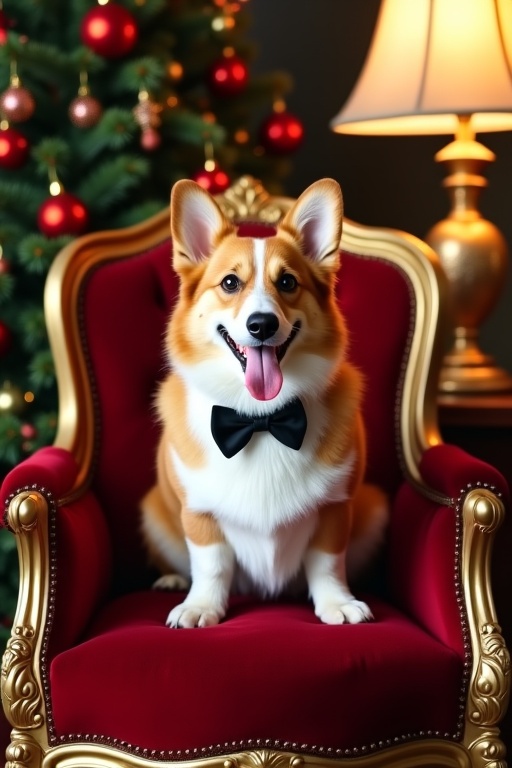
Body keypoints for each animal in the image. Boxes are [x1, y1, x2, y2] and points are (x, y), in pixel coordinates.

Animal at [142, 177, 386, 628]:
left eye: (287, 282)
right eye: (229, 283)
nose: (262, 325)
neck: (261, 419)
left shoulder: (335, 509)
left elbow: (327, 563)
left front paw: (337, 603)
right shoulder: (198, 514)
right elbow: (210, 565)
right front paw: (201, 606)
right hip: (153, 512)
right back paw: (170, 580)